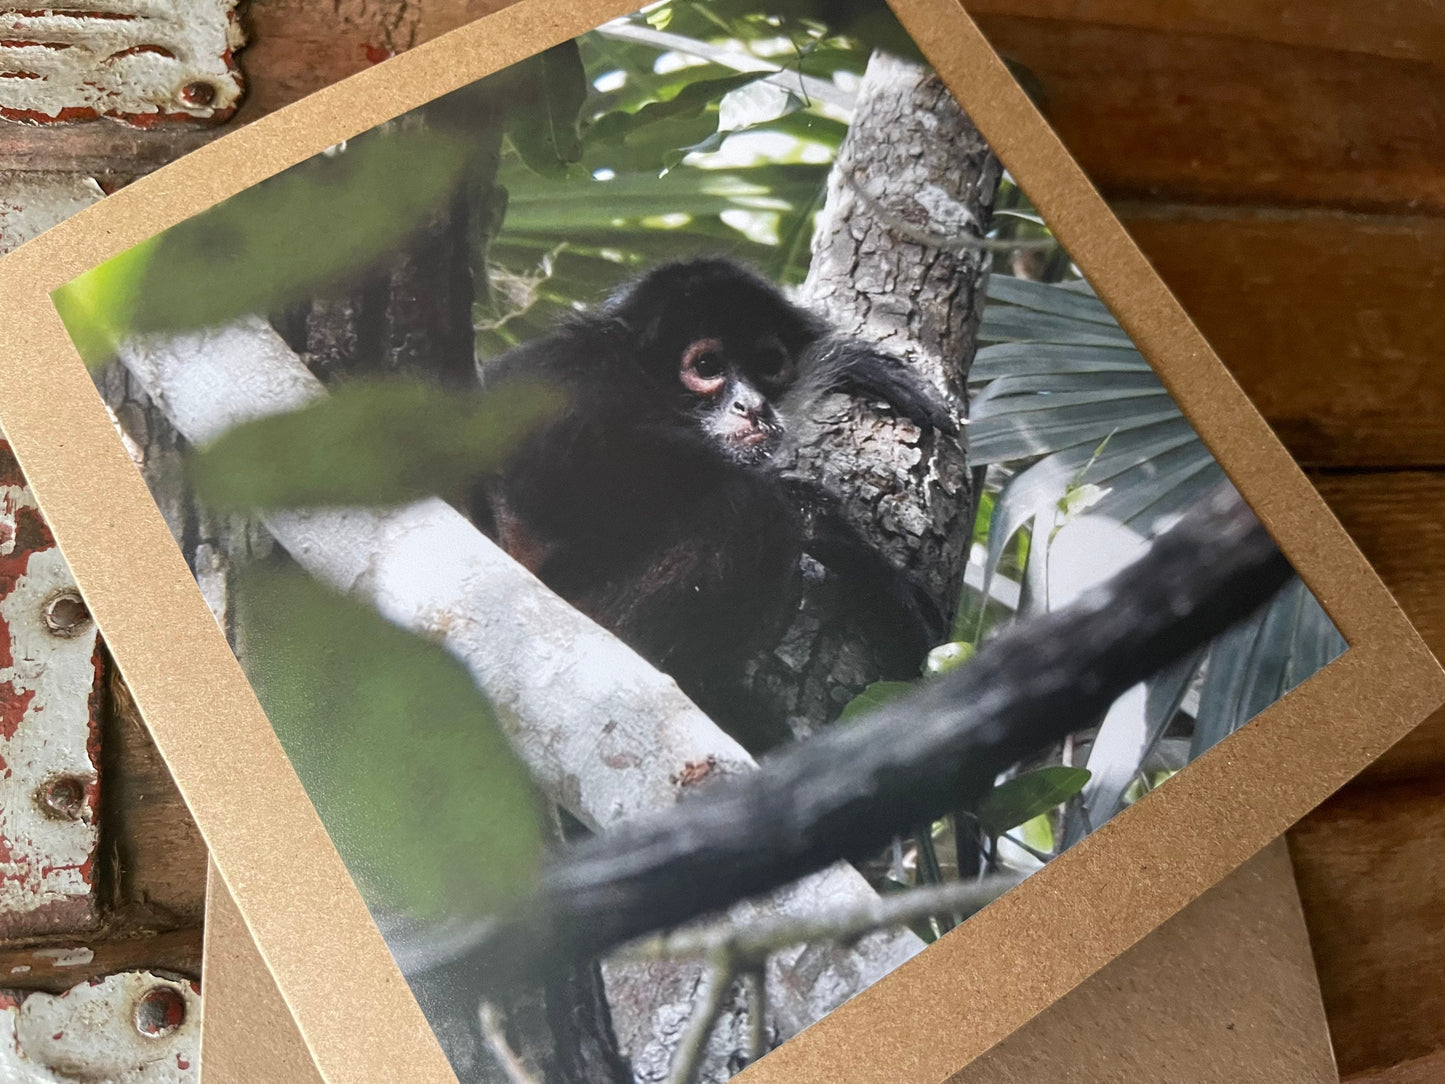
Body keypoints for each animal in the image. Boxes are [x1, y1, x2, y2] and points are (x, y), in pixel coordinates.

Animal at [469, 256, 956, 750]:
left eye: (768, 364)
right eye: (707, 366)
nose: (752, 406)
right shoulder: (566, 367)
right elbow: (549, 469)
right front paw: (839, 535)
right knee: (752, 511)